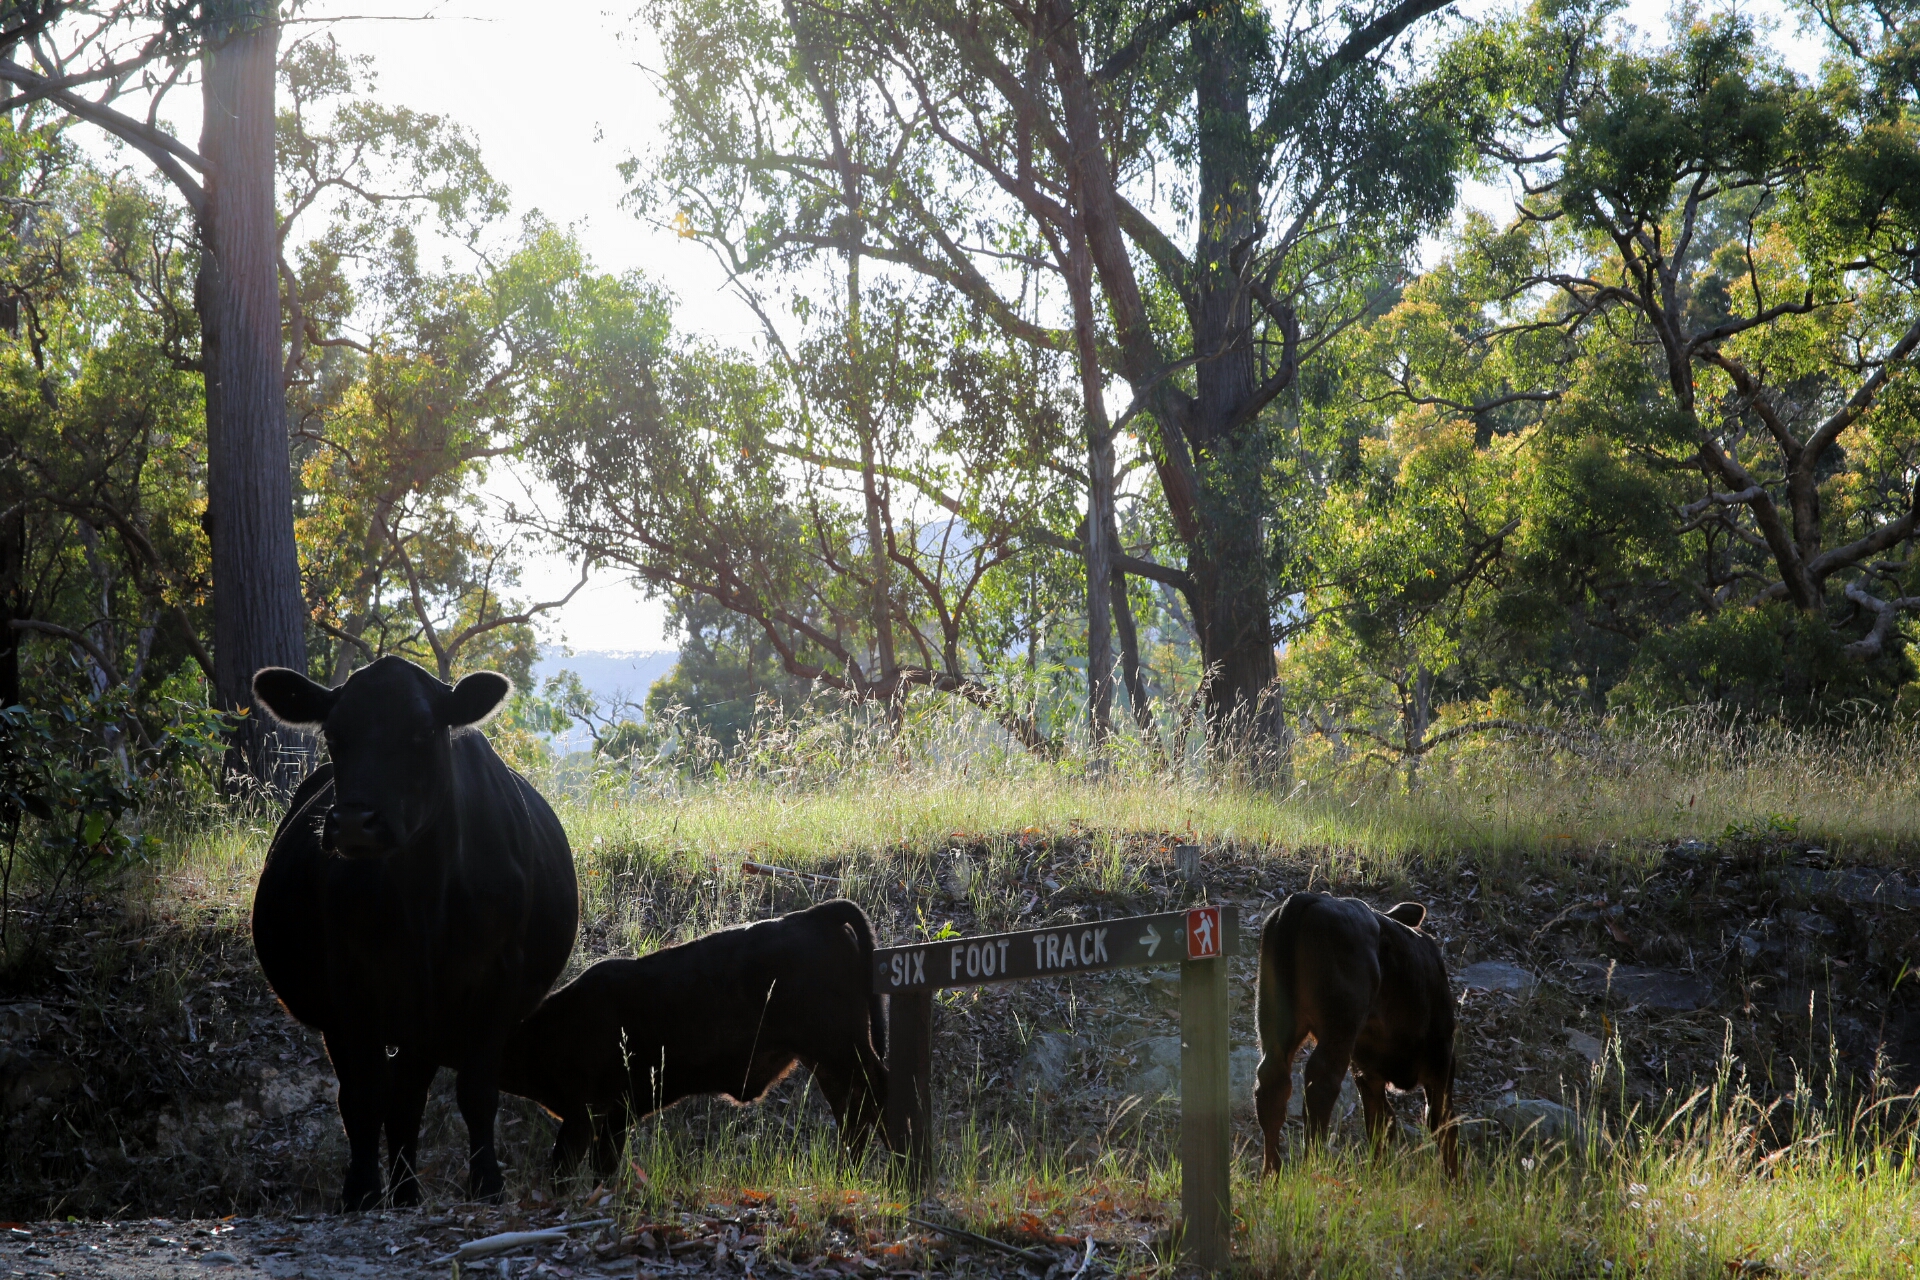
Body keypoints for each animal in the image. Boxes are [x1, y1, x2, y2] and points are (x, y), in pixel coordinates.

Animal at [250, 656, 579, 1211]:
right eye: (334, 733)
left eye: (424, 731)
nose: (354, 823)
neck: (423, 897)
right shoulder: (349, 983)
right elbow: (363, 1094)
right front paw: (361, 1193)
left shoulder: (496, 977)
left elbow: (474, 1090)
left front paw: (487, 1185)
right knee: (382, 1093)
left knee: (408, 1093)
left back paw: (406, 1192)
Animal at [497, 898, 888, 1180]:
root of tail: (811, 917)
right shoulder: (614, 1116)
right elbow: (602, 1166)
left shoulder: (585, 1113)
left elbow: (563, 1170)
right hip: (828, 1061)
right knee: (854, 1115)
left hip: (841, 1049)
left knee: (879, 1096)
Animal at [1254, 891, 1459, 1178]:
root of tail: (1308, 897)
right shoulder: (1442, 1058)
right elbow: (1443, 1123)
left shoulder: (1367, 1071)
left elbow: (1381, 1124)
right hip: (1340, 1026)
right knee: (1320, 1083)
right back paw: (1312, 1166)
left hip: (1275, 1021)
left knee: (1272, 1082)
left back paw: (1272, 1174)